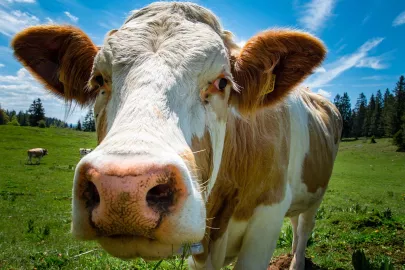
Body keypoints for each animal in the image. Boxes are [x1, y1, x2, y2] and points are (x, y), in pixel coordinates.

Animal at [11, 2, 340, 270]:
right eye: (98, 79)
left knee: (303, 228)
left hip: (317, 193)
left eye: (222, 82)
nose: (122, 189)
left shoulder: (267, 217)